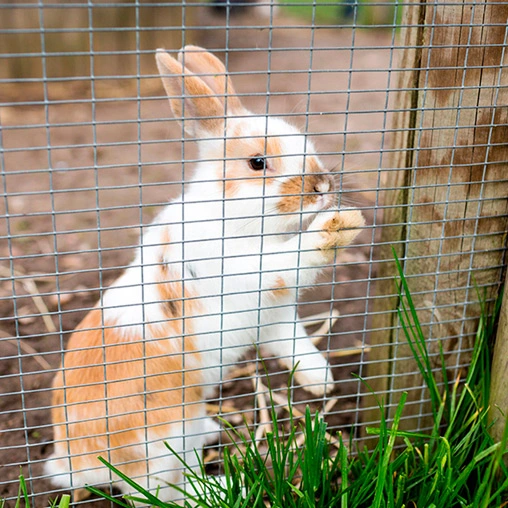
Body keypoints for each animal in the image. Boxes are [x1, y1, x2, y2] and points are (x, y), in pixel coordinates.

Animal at [42, 44, 362, 504]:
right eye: (257, 162)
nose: (322, 188)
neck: (234, 217)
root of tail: (75, 461)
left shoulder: (273, 319)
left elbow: (297, 345)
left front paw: (323, 383)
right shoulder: (251, 274)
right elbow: (291, 258)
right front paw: (338, 226)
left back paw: (212, 434)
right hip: (159, 446)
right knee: (159, 493)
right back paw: (226, 487)